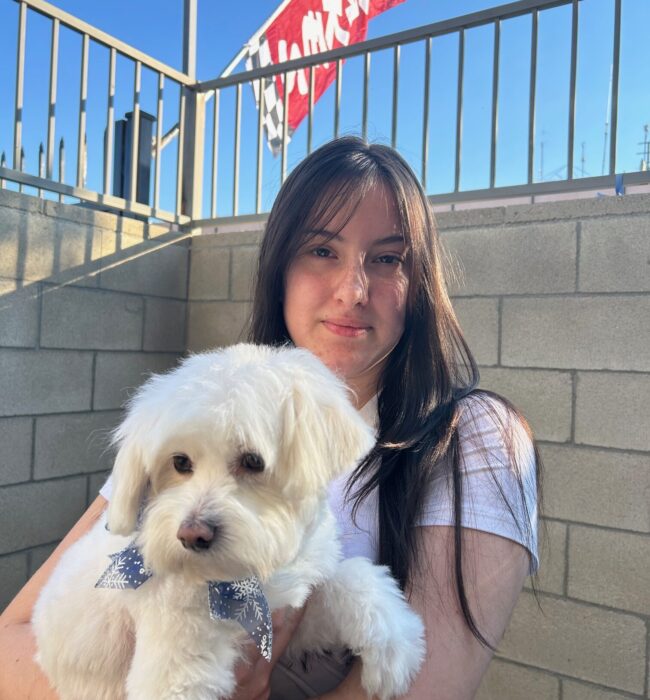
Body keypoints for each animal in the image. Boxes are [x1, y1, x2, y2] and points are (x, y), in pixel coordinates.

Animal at [33, 344, 425, 700]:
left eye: (252, 461)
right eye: (179, 462)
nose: (192, 535)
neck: (241, 576)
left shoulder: (289, 613)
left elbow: (350, 578)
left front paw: (397, 648)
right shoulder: (176, 671)